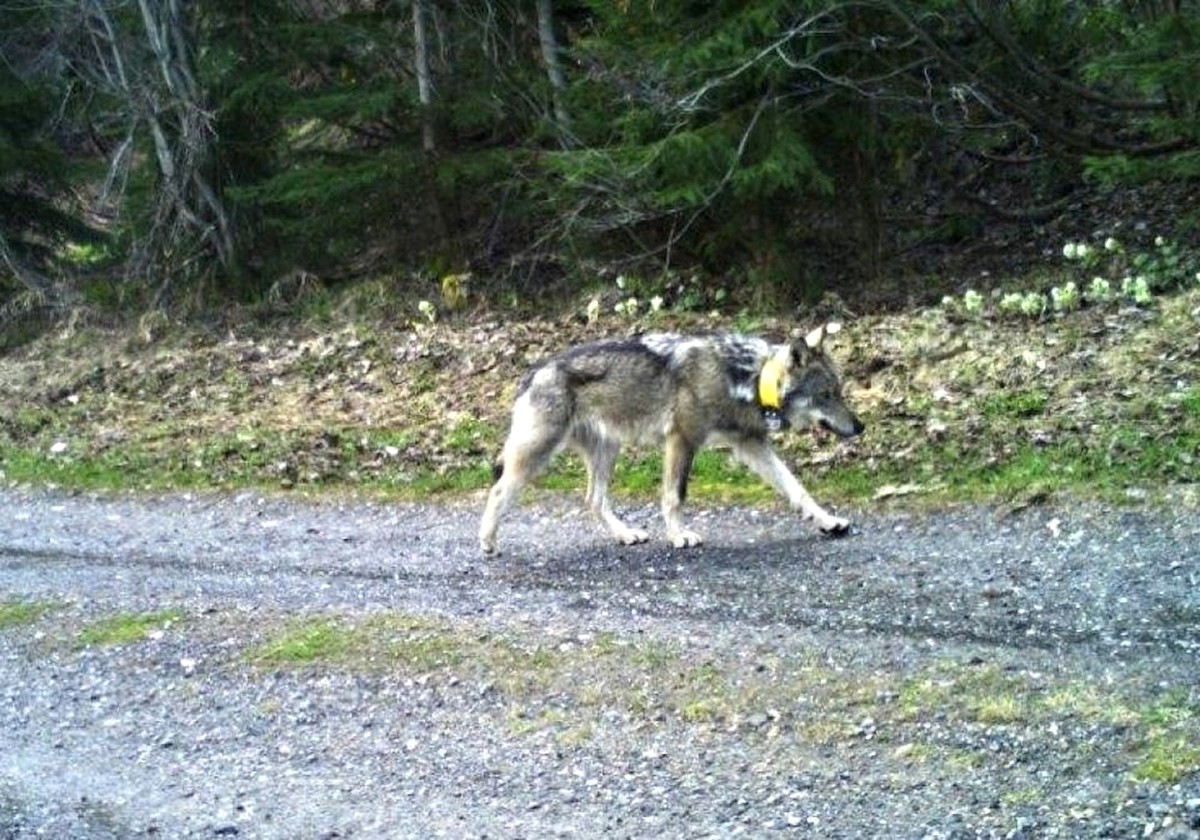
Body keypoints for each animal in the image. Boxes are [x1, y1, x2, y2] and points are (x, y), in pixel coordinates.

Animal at [477, 321, 864, 552]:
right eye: (826, 395)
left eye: (839, 392)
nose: (860, 427)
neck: (746, 378)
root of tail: (533, 371)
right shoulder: (682, 439)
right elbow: (674, 496)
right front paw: (679, 536)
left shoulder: (751, 445)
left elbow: (797, 489)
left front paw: (829, 522)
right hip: (537, 454)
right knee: (498, 490)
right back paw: (488, 542)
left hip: (607, 452)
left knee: (593, 500)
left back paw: (626, 535)